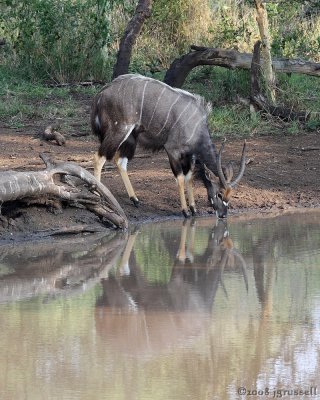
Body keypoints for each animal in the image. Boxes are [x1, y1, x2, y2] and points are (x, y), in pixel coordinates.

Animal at [91, 75, 246, 219]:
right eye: (219, 194)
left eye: (230, 194)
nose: (223, 214)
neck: (196, 126)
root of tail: (101, 94)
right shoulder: (172, 150)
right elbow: (180, 178)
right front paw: (185, 211)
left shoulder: (190, 156)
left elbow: (189, 177)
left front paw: (193, 209)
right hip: (119, 130)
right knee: (99, 157)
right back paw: (98, 193)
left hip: (131, 137)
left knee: (120, 161)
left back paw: (135, 199)